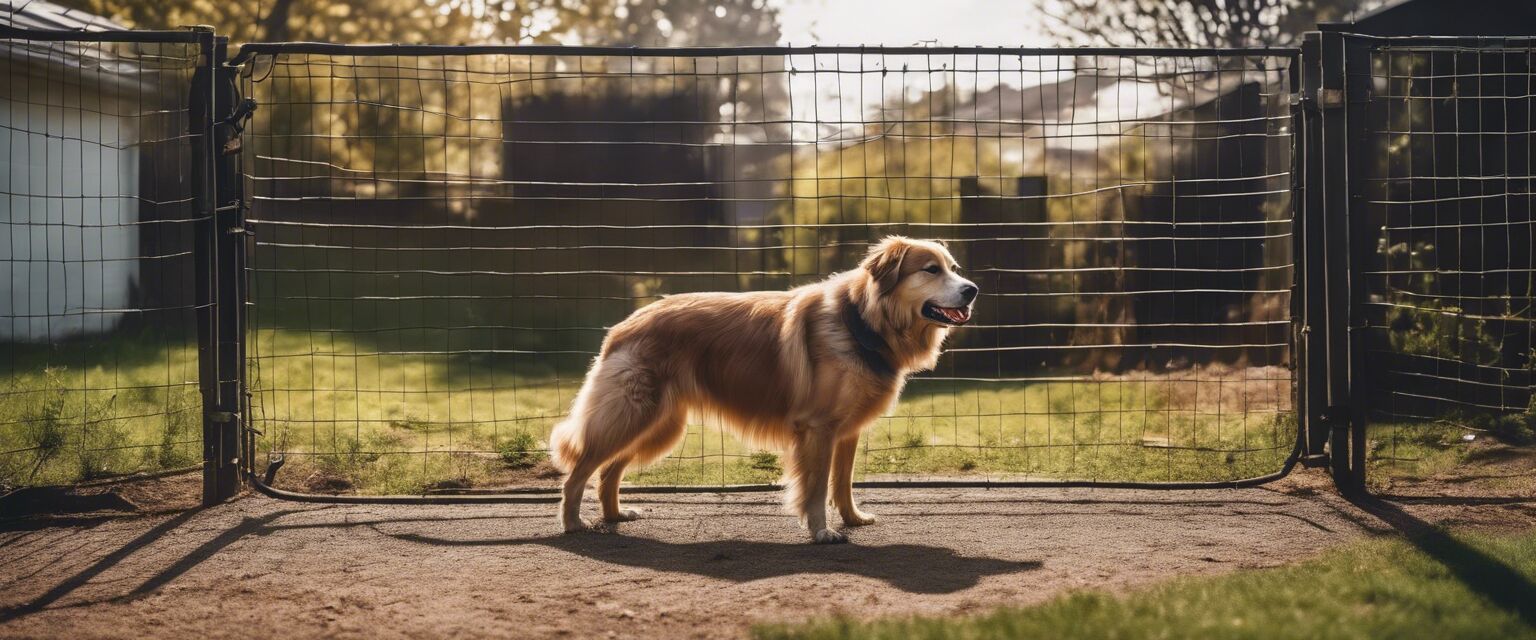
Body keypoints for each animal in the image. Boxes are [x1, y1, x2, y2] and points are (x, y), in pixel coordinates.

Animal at [552, 236, 976, 540]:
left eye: (953, 268)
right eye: (931, 269)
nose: (972, 289)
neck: (862, 320)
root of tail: (623, 325)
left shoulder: (845, 432)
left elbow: (842, 483)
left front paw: (852, 519)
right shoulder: (818, 429)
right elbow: (816, 486)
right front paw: (821, 531)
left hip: (658, 425)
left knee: (609, 471)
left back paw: (614, 516)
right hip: (634, 414)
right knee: (580, 470)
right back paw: (573, 523)